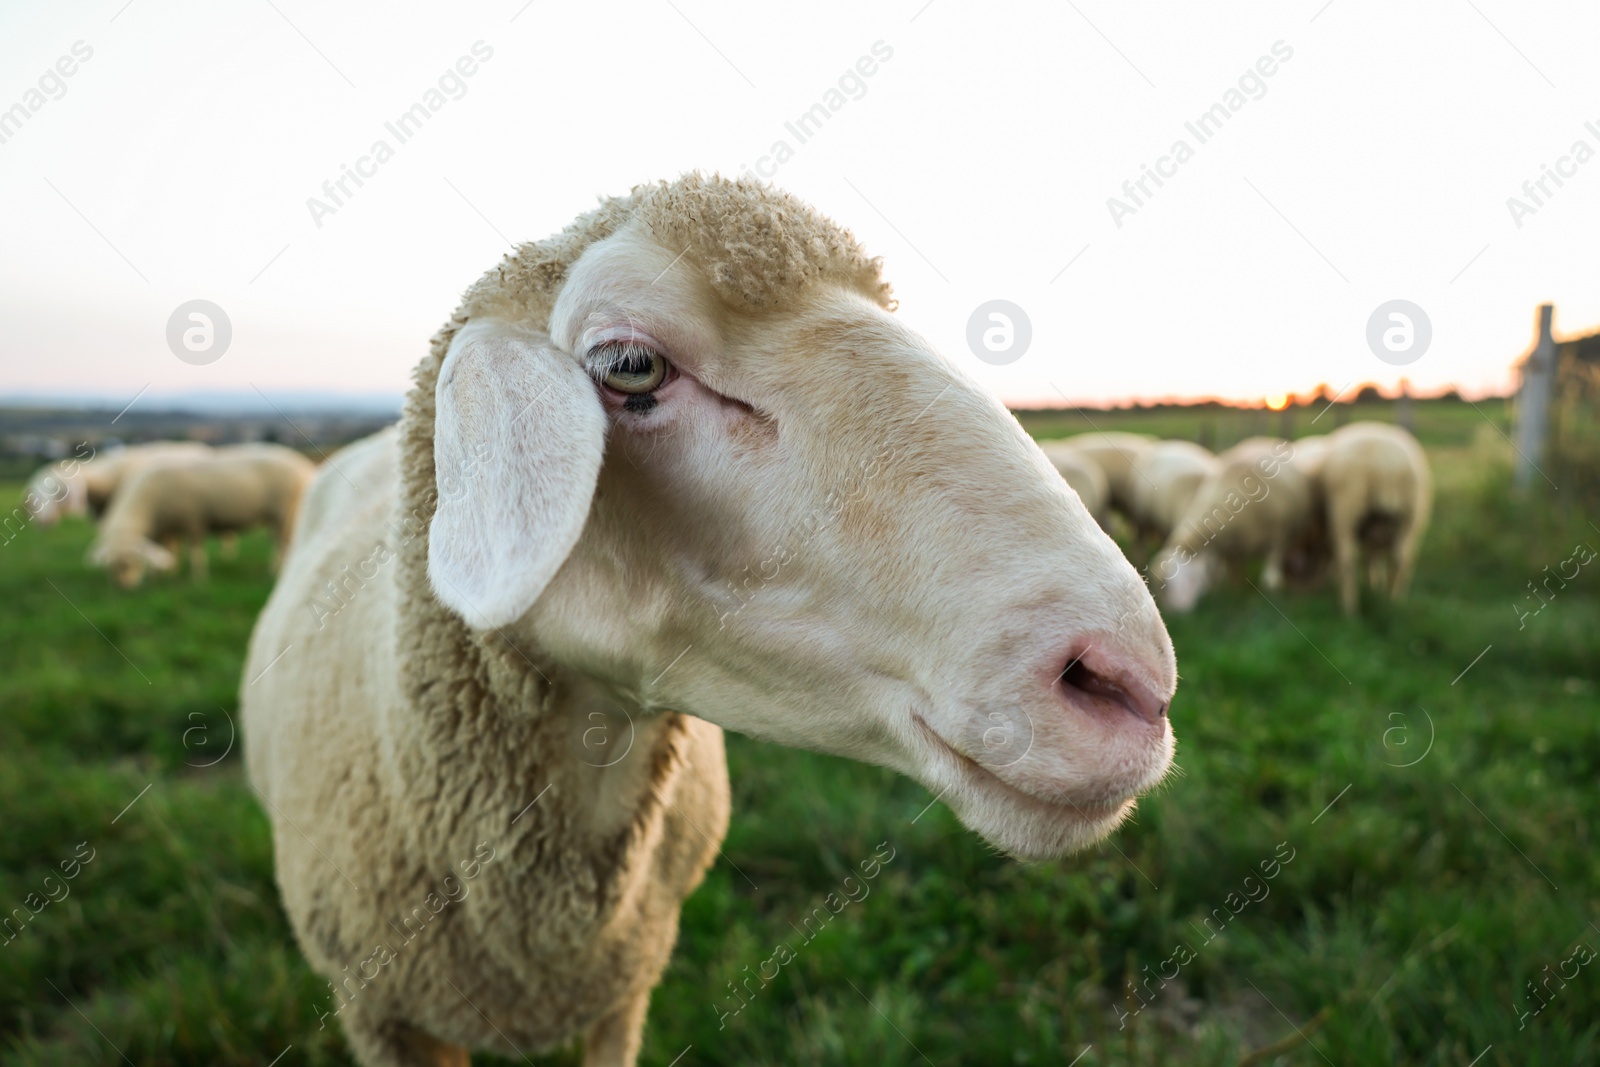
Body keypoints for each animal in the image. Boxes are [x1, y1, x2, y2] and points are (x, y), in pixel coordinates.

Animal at [86, 444, 316, 591]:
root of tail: (304, 467)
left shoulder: (193, 520)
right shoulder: (169, 528)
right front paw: (166, 572)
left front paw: (198, 579)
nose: (124, 588)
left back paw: (274, 571)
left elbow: (196, 552)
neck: (147, 506)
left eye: (131, 563)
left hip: (284, 514)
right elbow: (169, 550)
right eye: (110, 567)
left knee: (283, 544)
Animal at [1152, 435, 1312, 614]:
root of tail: (1264, 438)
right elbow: (1228, 570)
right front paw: (1230, 588)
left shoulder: (1278, 533)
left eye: (1168, 585)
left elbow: (1273, 560)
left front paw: (1273, 584)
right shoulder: (1229, 546)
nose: (1171, 613)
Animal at [1312, 422, 1440, 614]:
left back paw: (1349, 608)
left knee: (1347, 558)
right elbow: (1372, 558)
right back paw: (1393, 602)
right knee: (1401, 558)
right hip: (1410, 517)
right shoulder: (1375, 532)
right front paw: (1374, 588)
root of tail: (1386, 464)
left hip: (1346, 509)